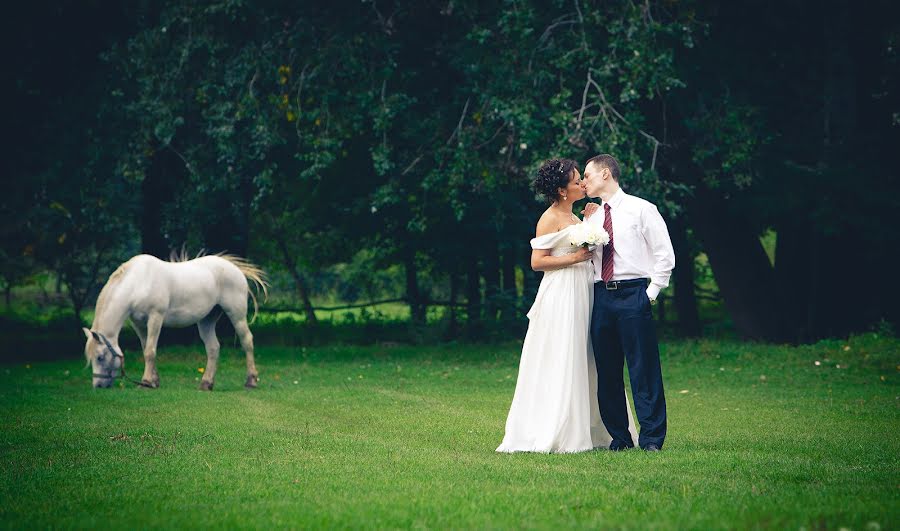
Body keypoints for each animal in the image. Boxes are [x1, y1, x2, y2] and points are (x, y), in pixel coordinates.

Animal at [82, 254, 268, 390]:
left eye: (99, 357)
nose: (98, 385)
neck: (139, 282)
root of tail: (235, 269)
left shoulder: (155, 318)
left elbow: (150, 351)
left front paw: (146, 382)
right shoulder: (138, 323)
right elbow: (145, 348)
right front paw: (154, 381)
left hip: (236, 315)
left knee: (247, 341)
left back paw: (251, 381)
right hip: (206, 320)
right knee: (213, 348)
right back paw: (206, 383)